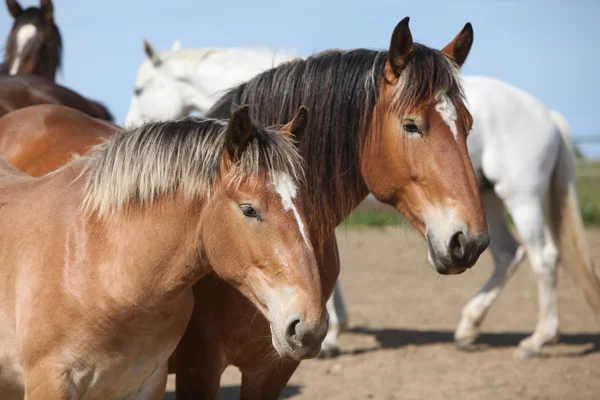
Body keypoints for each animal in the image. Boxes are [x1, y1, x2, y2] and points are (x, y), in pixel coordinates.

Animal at [326, 75, 600, 360]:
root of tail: (549, 115)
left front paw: (330, 337)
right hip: (486, 202)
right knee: (508, 253)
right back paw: (468, 328)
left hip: (522, 198)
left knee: (543, 257)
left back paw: (537, 340)